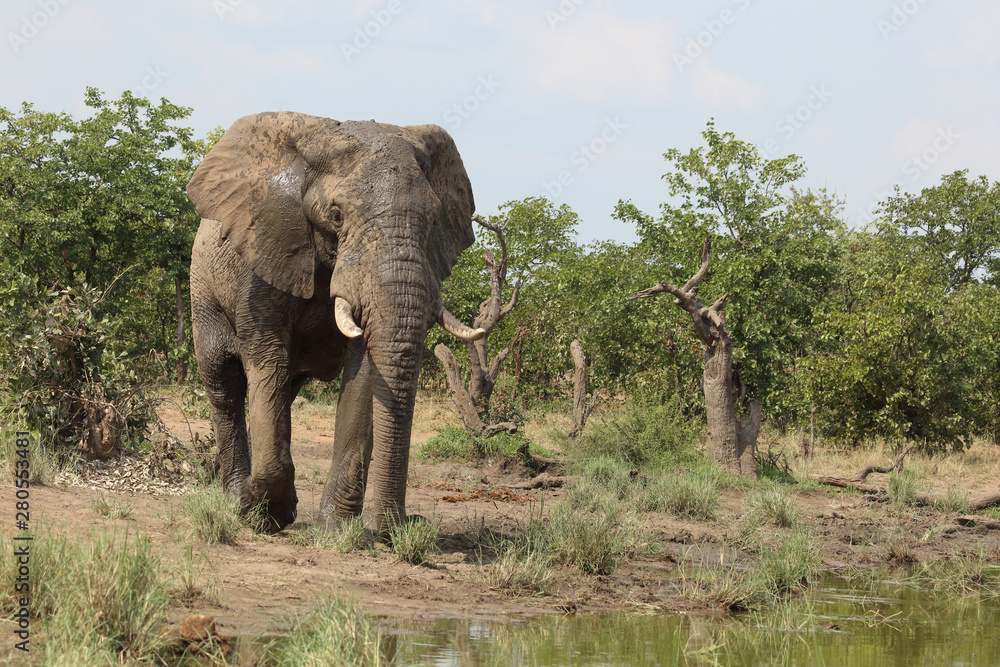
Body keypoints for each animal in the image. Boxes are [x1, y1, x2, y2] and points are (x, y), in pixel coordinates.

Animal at [186, 111, 484, 534]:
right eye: (337, 215)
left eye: (432, 219)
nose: (400, 525)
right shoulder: (265, 255)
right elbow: (267, 355)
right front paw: (258, 511)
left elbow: (364, 371)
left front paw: (336, 530)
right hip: (203, 287)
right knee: (224, 383)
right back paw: (236, 496)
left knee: (285, 389)